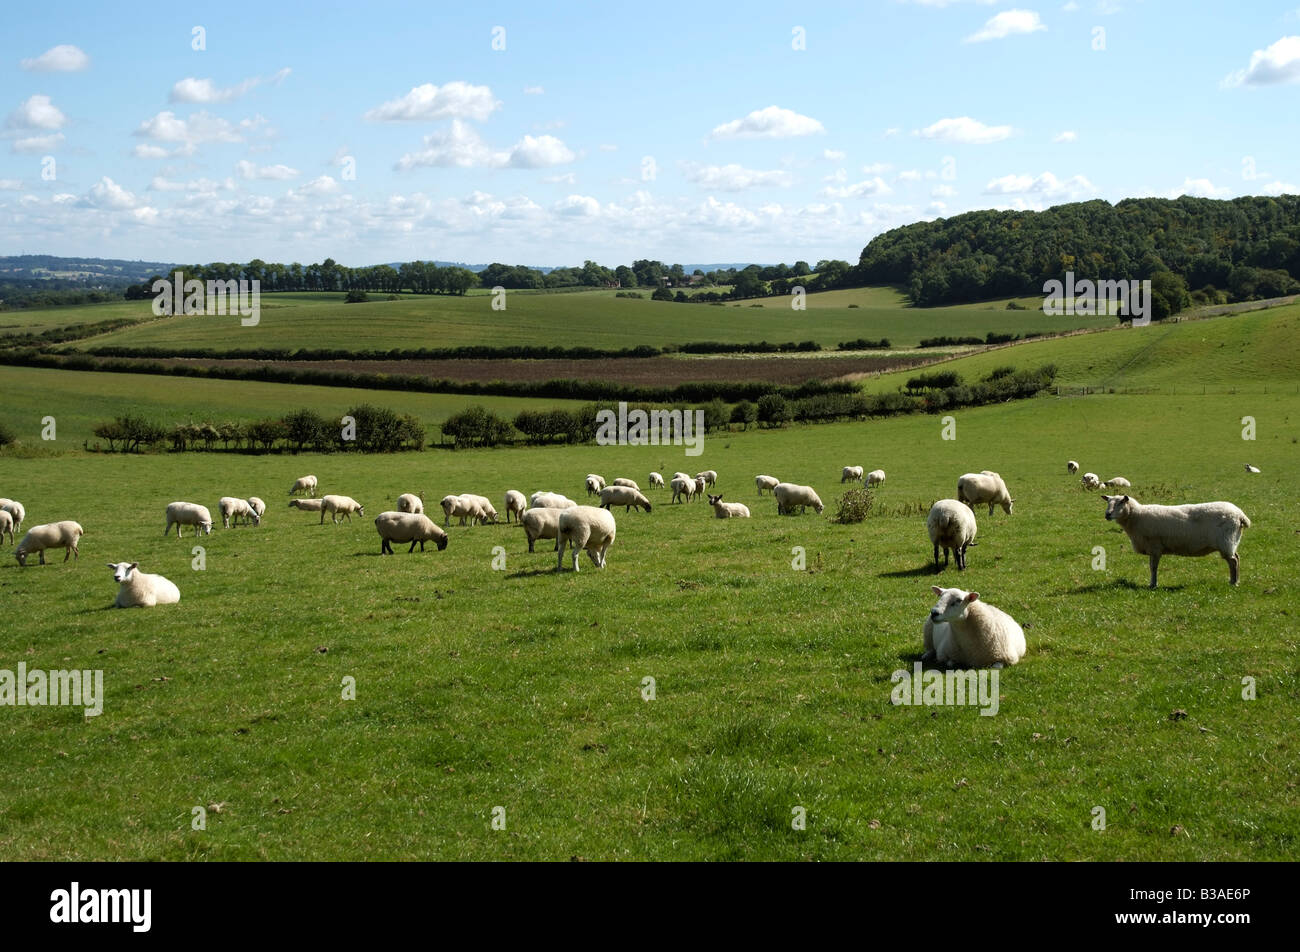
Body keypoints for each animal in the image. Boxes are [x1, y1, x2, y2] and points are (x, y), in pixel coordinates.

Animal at [1102, 494, 1253, 590]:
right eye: (1108, 503)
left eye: (1120, 503)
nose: (1107, 515)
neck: (1136, 516)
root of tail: (1240, 515)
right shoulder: (1153, 548)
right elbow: (1152, 567)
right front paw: (1153, 584)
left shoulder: (1155, 547)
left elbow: (1153, 568)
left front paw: (1153, 585)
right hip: (1231, 541)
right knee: (1236, 558)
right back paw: (1236, 580)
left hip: (1226, 541)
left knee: (1233, 561)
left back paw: (1234, 582)